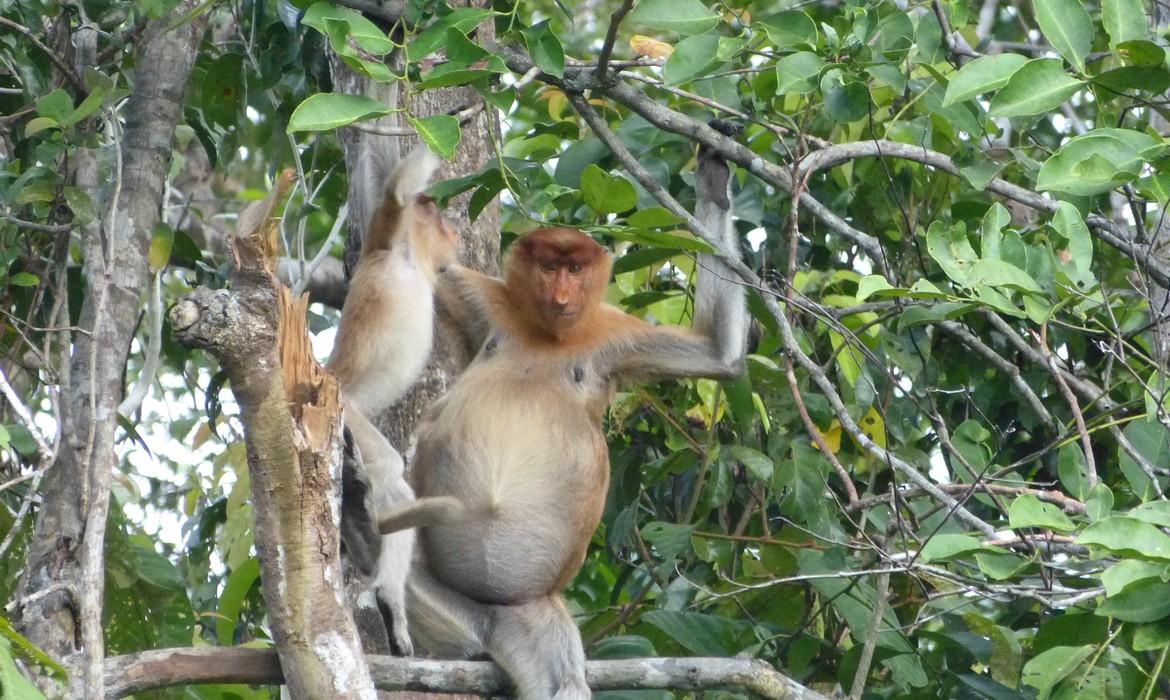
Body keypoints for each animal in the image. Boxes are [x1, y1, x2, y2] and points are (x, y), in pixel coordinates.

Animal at [326, 143, 457, 657]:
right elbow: (398, 187)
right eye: (438, 218)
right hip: (350, 417)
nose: (454, 234)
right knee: (389, 474)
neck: (410, 258)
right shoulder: (388, 229)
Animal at [379, 136, 745, 698]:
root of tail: (493, 613)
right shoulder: (492, 303)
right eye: (549, 267)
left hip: (532, 607)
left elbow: (716, 353)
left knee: (559, 681)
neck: (549, 336)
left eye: (575, 270)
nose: (562, 297)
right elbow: (424, 264)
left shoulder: (612, 335)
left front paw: (714, 183)